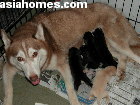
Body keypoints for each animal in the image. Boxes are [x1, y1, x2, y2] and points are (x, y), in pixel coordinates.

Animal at [0, 2, 140, 105]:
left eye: (34, 54)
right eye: (19, 58)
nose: (33, 78)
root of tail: (112, 8)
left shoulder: (64, 65)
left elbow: (70, 88)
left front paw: (74, 101)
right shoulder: (7, 68)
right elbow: (8, 91)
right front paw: (6, 101)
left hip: (115, 40)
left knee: (133, 54)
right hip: (106, 44)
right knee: (122, 56)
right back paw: (120, 72)